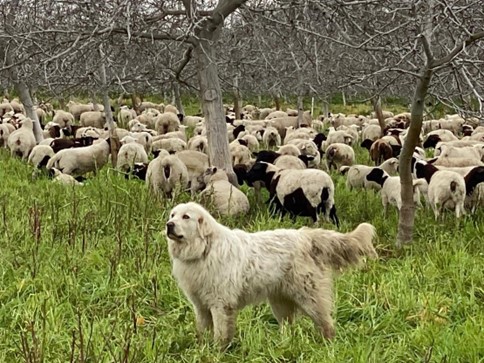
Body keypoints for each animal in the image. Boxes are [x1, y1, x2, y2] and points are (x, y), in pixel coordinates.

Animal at [166, 203, 378, 348]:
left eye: (186, 217)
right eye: (173, 215)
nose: (169, 225)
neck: (203, 249)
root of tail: (305, 236)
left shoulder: (221, 304)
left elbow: (220, 334)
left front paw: (218, 352)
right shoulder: (201, 306)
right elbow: (202, 331)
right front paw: (201, 349)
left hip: (310, 298)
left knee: (327, 323)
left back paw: (327, 345)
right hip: (280, 303)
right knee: (289, 327)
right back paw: (284, 345)